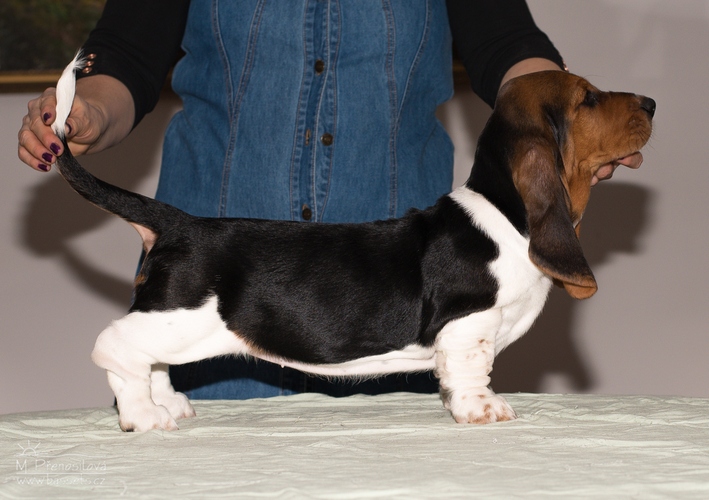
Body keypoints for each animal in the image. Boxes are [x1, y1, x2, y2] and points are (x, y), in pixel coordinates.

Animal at [51, 54, 654, 431]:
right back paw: (144, 416)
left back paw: (169, 404)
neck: (508, 215)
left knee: (149, 362)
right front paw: (483, 411)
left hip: (172, 324)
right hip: (178, 314)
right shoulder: (468, 326)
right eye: (588, 99)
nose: (650, 103)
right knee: (114, 347)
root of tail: (179, 223)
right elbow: (470, 371)